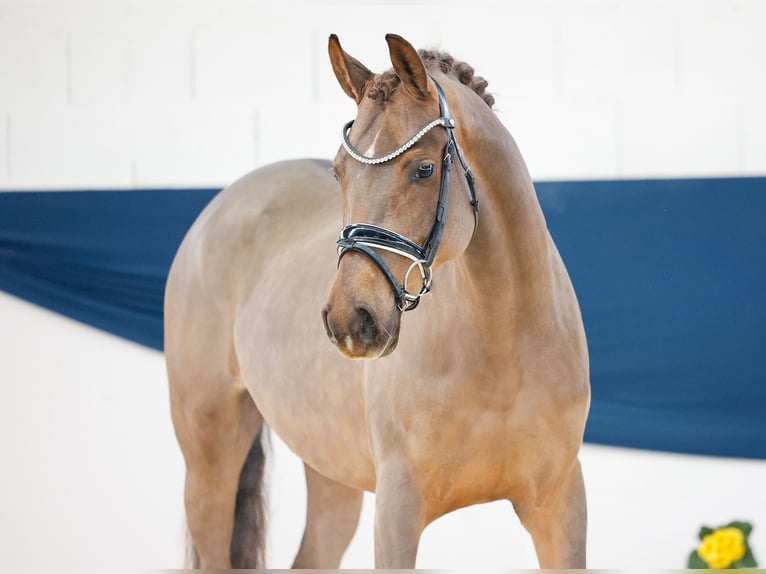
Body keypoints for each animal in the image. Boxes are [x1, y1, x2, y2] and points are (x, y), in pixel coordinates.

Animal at [165, 33, 592, 568]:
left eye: (424, 169)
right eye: (338, 171)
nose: (352, 320)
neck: (505, 340)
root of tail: (215, 210)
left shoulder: (560, 505)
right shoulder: (397, 511)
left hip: (330, 470)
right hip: (208, 457)